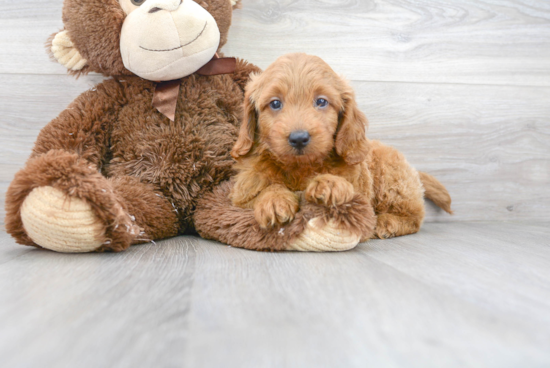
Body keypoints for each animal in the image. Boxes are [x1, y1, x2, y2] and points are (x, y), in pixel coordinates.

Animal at [229, 53, 452, 240]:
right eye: (275, 103)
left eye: (321, 102)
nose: (299, 138)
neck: (300, 167)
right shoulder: (243, 192)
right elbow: (262, 190)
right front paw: (274, 200)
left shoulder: (361, 189)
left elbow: (347, 187)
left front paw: (329, 183)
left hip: (392, 180)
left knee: (415, 216)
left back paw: (388, 222)